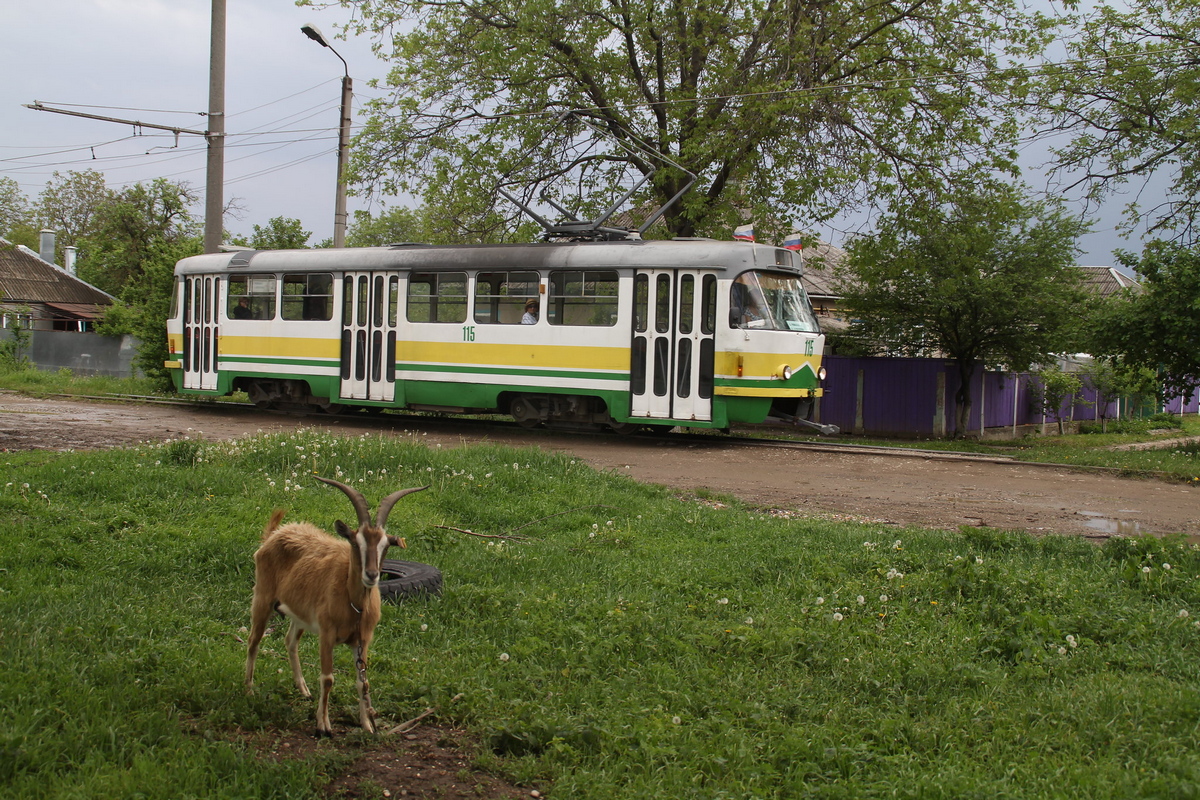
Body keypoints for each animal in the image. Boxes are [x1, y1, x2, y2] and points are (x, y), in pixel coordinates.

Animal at [242, 474, 427, 738]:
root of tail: (275, 534)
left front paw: (367, 726)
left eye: (385, 546)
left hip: (299, 613)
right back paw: (249, 689)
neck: (355, 606)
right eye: (355, 542)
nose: (372, 575)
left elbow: (363, 682)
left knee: (290, 641)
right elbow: (328, 678)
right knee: (253, 640)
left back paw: (303, 691)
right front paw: (323, 726)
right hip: (263, 598)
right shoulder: (327, 635)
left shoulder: (362, 640)